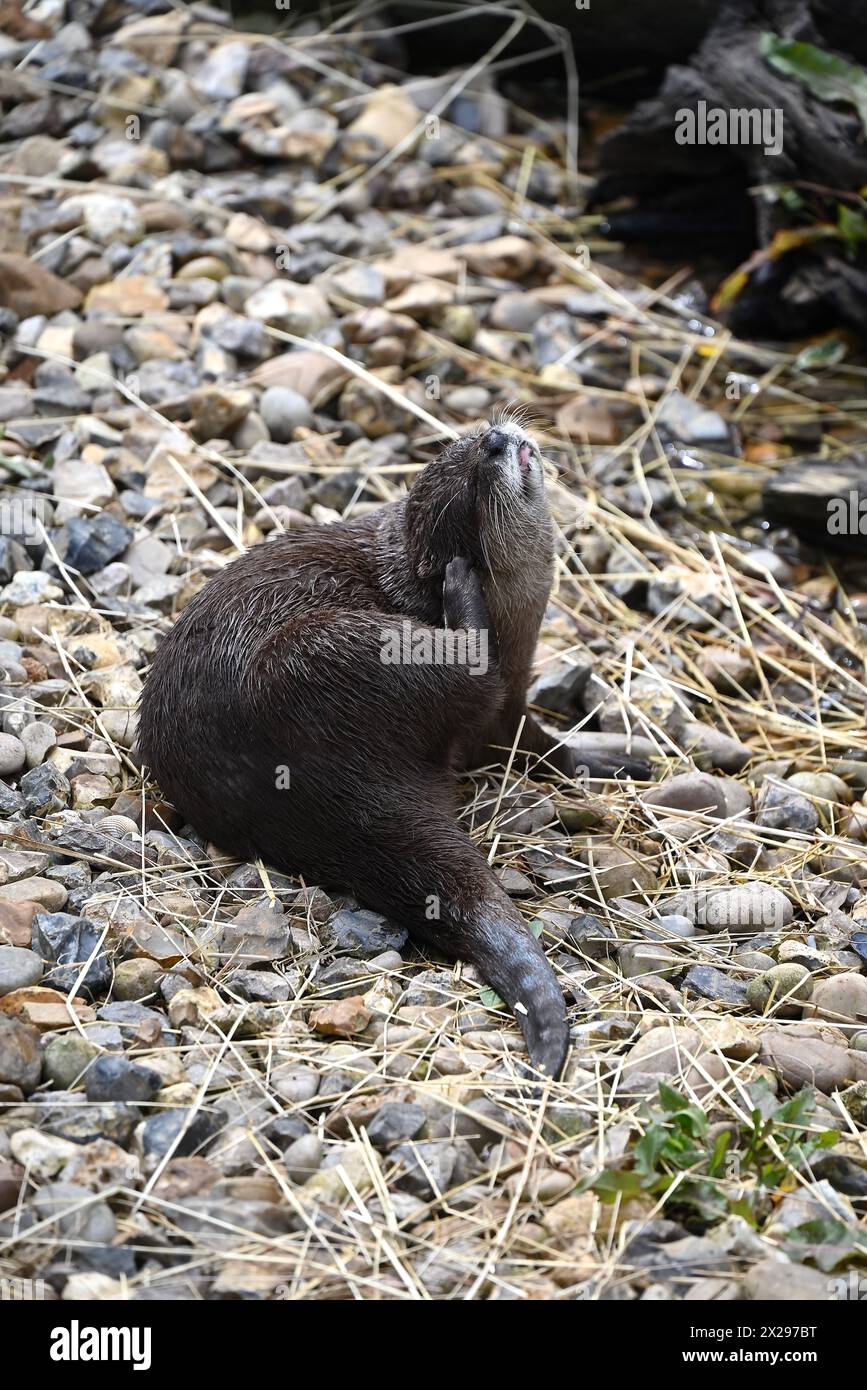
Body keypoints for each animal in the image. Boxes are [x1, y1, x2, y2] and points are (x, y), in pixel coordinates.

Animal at [138, 419, 647, 1073]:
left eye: (464, 442)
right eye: (474, 490)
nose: (495, 440)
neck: (520, 615)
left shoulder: (514, 704)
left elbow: (537, 745)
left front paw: (610, 758)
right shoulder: (502, 686)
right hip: (324, 652)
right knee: (469, 673)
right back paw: (463, 601)